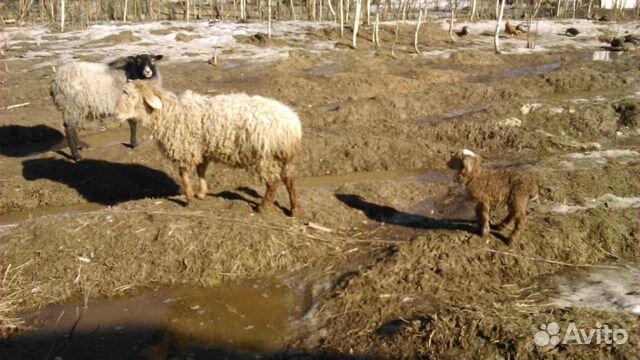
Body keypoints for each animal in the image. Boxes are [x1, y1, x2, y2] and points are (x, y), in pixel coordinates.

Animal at [113, 81, 302, 217]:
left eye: (133, 97)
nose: (116, 114)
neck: (171, 113)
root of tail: (292, 127)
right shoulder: (202, 148)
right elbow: (201, 170)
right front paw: (202, 193)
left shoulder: (185, 147)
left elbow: (184, 174)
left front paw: (189, 199)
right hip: (284, 158)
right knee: (290, 180)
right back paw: (294, 209)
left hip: (266, 156)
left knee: (273, 183)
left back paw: (264, 208)